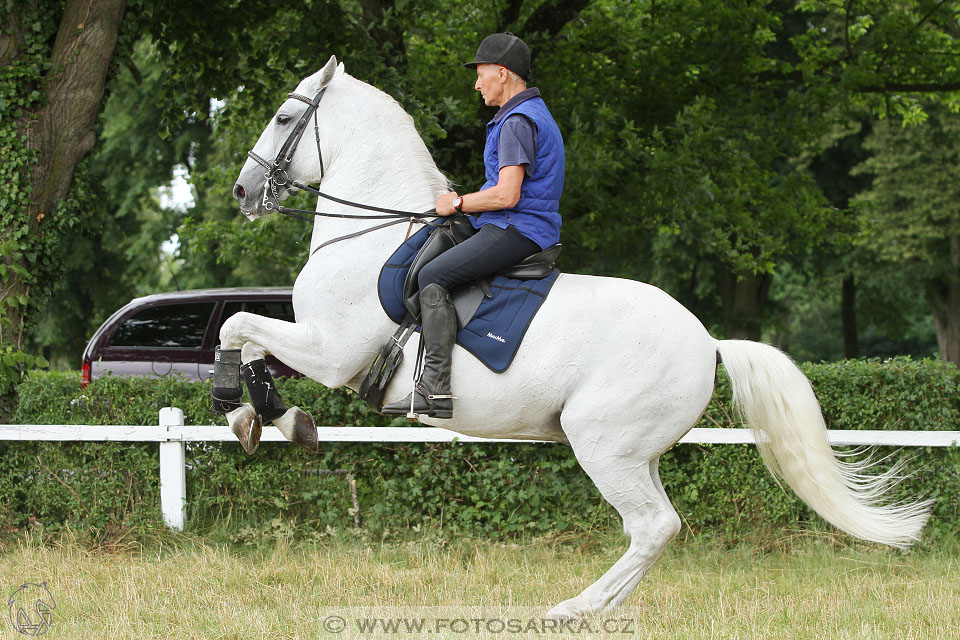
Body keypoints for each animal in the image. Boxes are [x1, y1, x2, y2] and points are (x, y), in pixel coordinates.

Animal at [223, 56, 928, 620]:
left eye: (284, 117)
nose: (243, 192)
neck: (368, 237)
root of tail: (709, 344)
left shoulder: (331, 351)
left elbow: (238, 326)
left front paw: (255, 416)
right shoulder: (317, 346)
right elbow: (249, 340)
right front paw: (269, 418)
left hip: (602, 444)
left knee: (652, 526)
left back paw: (575, 608)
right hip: (636, 452)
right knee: (658, 528)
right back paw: (601, 606)